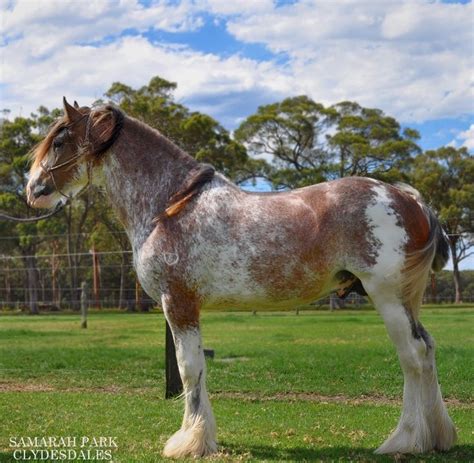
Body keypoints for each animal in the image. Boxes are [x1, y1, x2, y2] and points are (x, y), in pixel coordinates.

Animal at [25, 99, 456, 458]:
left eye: (60, 140)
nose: (32, 189)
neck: (170, 205)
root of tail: (410, 199)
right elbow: (196, 371)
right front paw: (202, 438)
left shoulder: (179, 304)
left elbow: (189, 369)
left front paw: (188, 442)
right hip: (404, 300)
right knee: (428, 349)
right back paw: (436, 437)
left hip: (386, 297)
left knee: (413, 355)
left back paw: (405, 440)